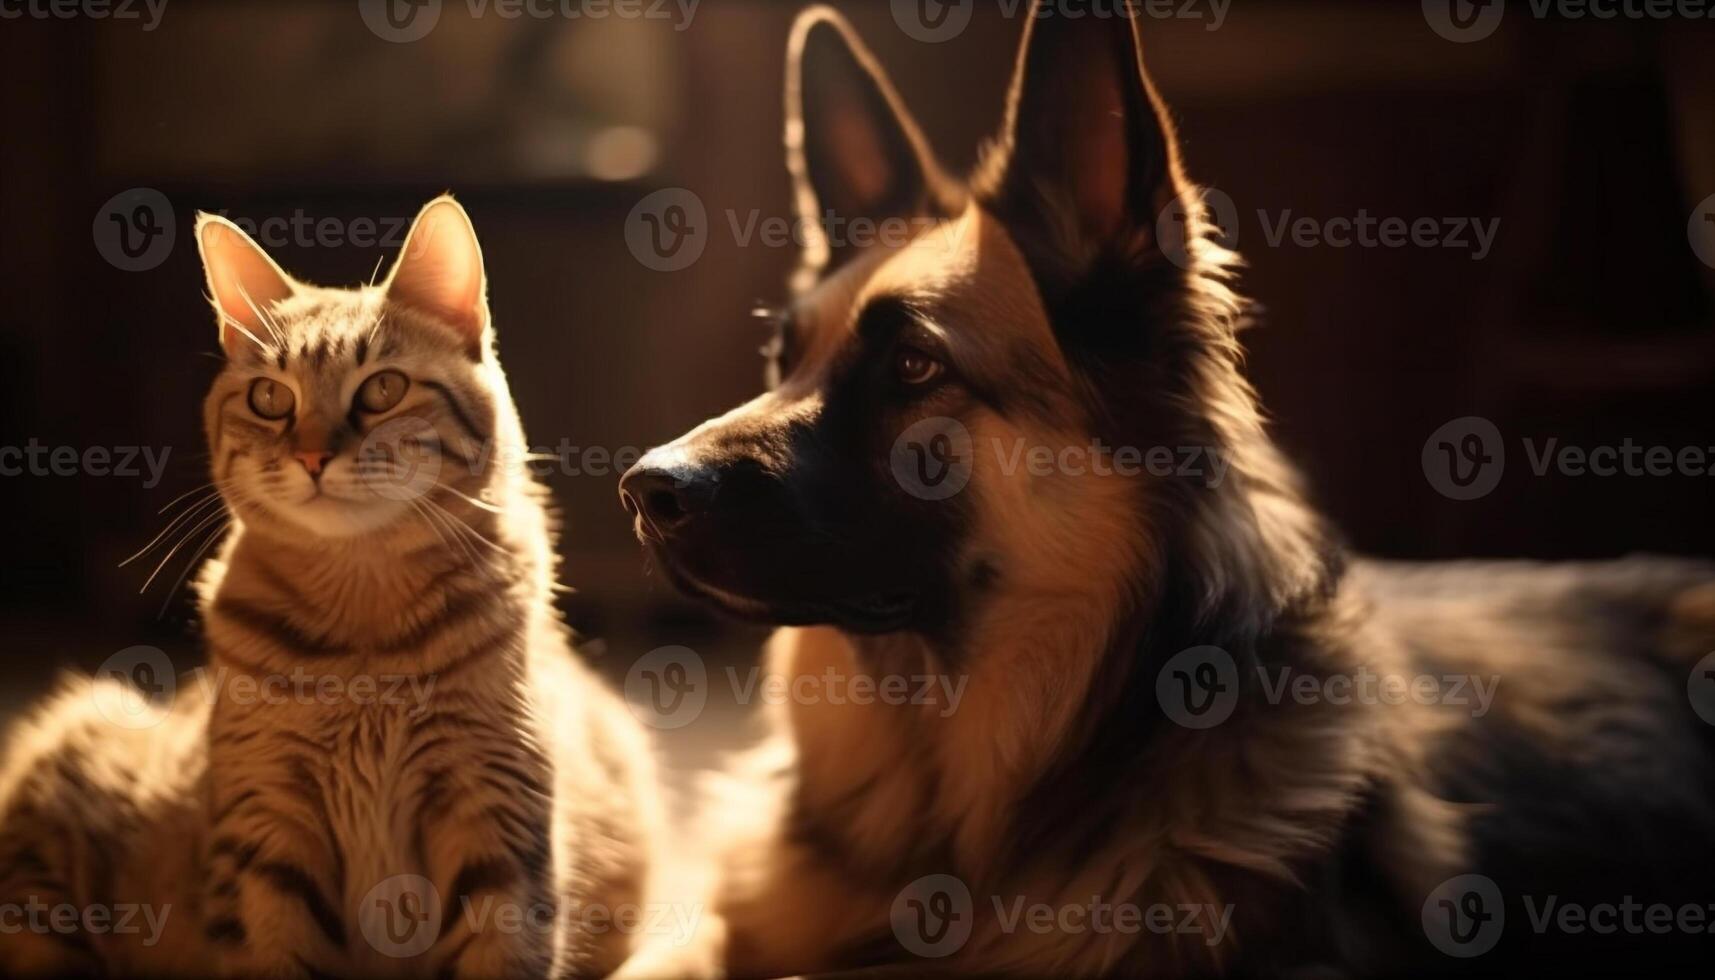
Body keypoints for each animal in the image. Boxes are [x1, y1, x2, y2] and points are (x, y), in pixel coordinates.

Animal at [0, 195, 665, 974]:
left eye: (383, 389)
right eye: (269, 397)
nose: (313, 456)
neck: (363, 633)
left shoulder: (495, 819)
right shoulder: (267, 834)